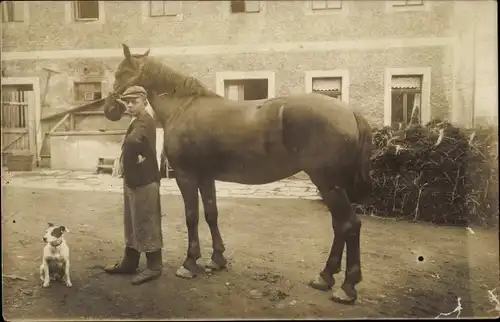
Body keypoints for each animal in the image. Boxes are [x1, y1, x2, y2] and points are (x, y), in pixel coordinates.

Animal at [104, 44, 372, 304]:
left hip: (328, 184)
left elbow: (192, 217)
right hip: (332, 186)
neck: (183, 107)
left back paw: (347, 288)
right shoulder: (206, 177)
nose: (109, 109)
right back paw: (325, 277)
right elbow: (211, 214)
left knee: (349, 225)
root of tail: (350, 112)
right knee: (339, 226)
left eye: (121, 73)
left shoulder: (186, 176)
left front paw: (189, 263)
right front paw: (217, 259)